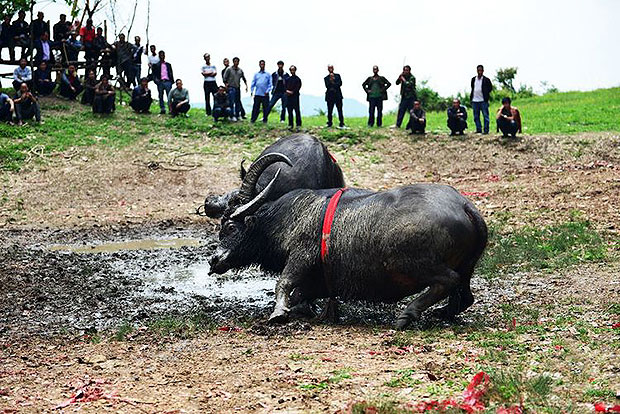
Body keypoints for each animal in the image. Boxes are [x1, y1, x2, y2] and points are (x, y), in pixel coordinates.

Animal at [209, 158, 488, 329]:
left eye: (230, 227)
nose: (214, 260)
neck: (288, 217)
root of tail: (465, 206)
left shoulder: (301, 256)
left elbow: (284, 283)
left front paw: (278, 313)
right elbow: (301, 296)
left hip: (412, 262)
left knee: (448, 280)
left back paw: (407, 315)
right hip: (467, 268)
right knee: (465, 297)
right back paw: (442, 312)